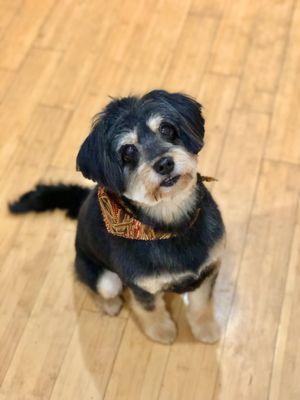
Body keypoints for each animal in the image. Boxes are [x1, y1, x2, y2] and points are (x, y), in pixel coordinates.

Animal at [9, 90, 225, 344]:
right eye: (128, 150)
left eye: (166, 129)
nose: (164, 163)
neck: (170, 225)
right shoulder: (141, 286)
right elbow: (150, 309)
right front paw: (162, 332)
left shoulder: (208, 270)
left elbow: (202, 303)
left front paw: (206, 329)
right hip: (104, 279)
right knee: (93, 286)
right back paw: (109, 305)